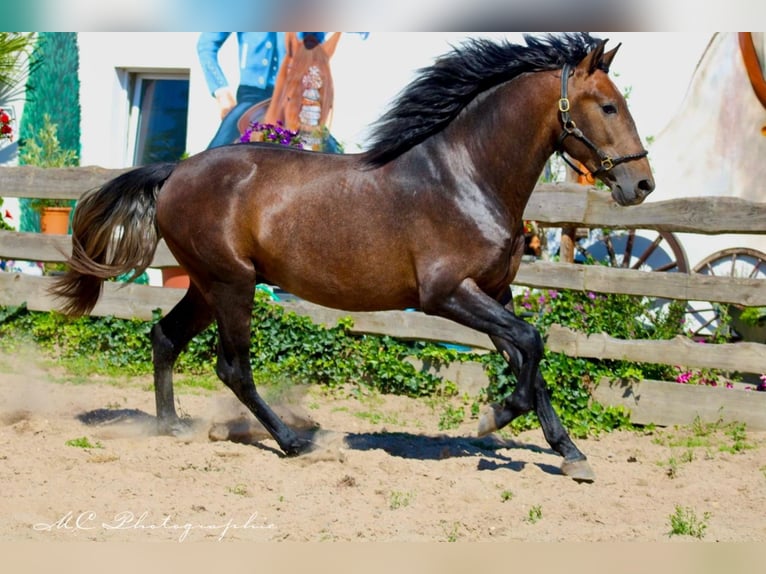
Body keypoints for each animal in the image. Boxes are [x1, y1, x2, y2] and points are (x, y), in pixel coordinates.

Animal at [51, 32, 656, 482]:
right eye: (608, 105)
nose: (642, 184)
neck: (467, 176)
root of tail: (175, 170)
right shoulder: (446, 294)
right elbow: (530, 343)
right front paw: (495, 418)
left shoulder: (495, 293)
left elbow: (529, 355)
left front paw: (569, 453)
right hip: (231, 285)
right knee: (231, 366)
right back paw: (294, 442)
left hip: (205, 285)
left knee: (165, 338)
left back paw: (173, 428)